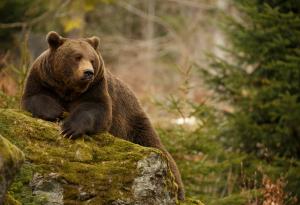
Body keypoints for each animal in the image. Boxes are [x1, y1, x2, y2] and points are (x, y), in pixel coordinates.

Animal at [21, 31, 185, 199]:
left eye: (92, 59)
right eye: (77, 56)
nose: (88, 72)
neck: (69, 89)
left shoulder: (96, 87)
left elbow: (96, 109)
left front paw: (69, 128)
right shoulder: (42, 78)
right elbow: (35, 97)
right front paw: (56, 112)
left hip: (133, 123)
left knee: (156, 147)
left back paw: (178, 189)